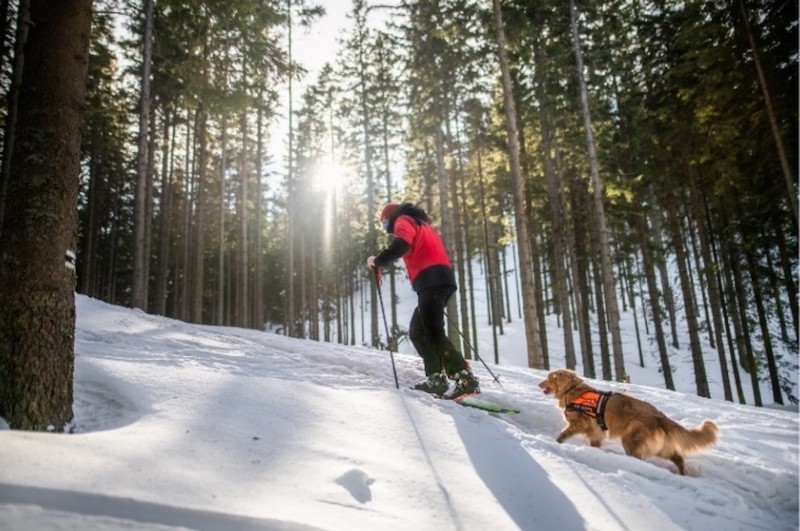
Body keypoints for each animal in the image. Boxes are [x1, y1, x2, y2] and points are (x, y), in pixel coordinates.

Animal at [536, 368, 720, 476]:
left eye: (548, 378)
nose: (538, 384)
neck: (573, 391)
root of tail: (659, 415)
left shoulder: (580, 424)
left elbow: (563, 434)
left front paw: (555, 442)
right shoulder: (596, 432)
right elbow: (595, 443)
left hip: (631, 439)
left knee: (639, 457)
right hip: (660, 447)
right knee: (678, 458)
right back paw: (682, 473)